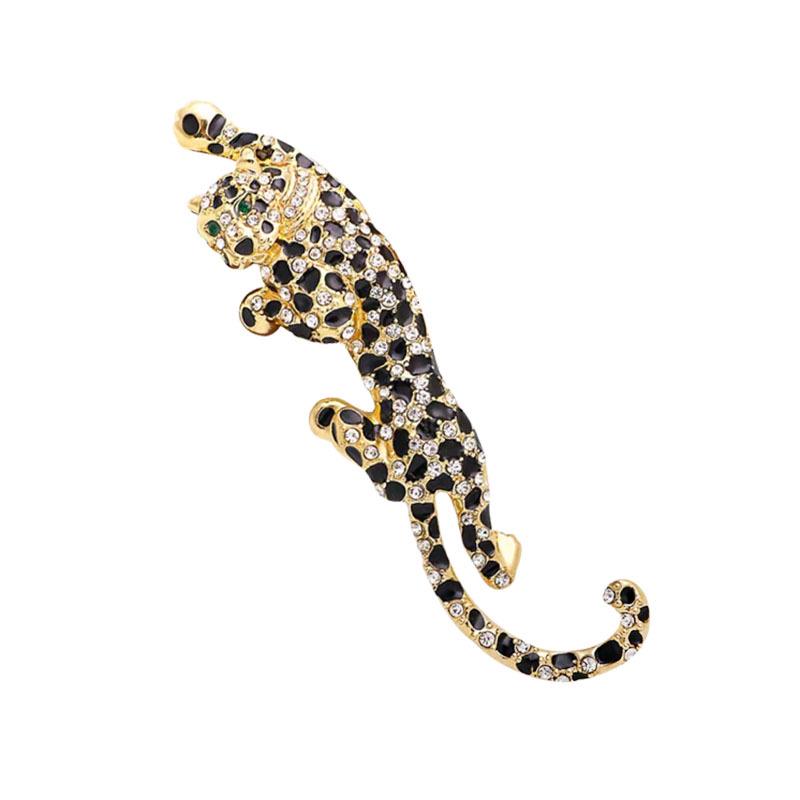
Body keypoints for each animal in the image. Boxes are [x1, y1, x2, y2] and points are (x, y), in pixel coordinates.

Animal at [175, 101, 649, 681]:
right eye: (211, 231)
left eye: (244, 207)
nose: (231, 247)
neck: (300, 221)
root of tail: (424, 478)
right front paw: (257, 305)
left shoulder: (329, 264)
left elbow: (255, 143)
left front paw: (202, 124)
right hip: (403, 460)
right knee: (393, 485)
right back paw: (338, 422)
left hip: (465, 470)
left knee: (481, 551)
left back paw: (502, 547)